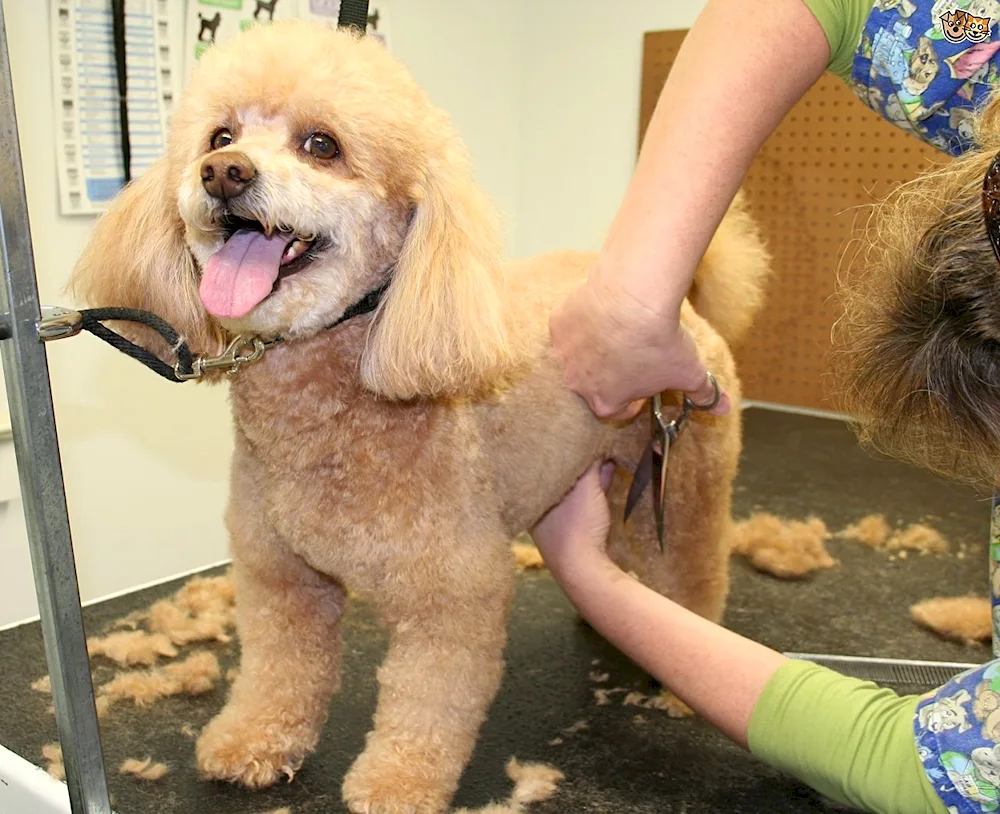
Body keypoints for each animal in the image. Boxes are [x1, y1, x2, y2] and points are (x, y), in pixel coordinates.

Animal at [70, 19, 768, 814]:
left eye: (321, 144)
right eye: (220, 135)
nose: (223, 173)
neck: (329, 408)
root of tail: (685, 304)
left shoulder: (453, 595)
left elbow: (428, 703)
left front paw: (396, 783)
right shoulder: (281, 577)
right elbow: (279, 670)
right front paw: (253, 741)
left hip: (687, 482)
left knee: (692, 574)